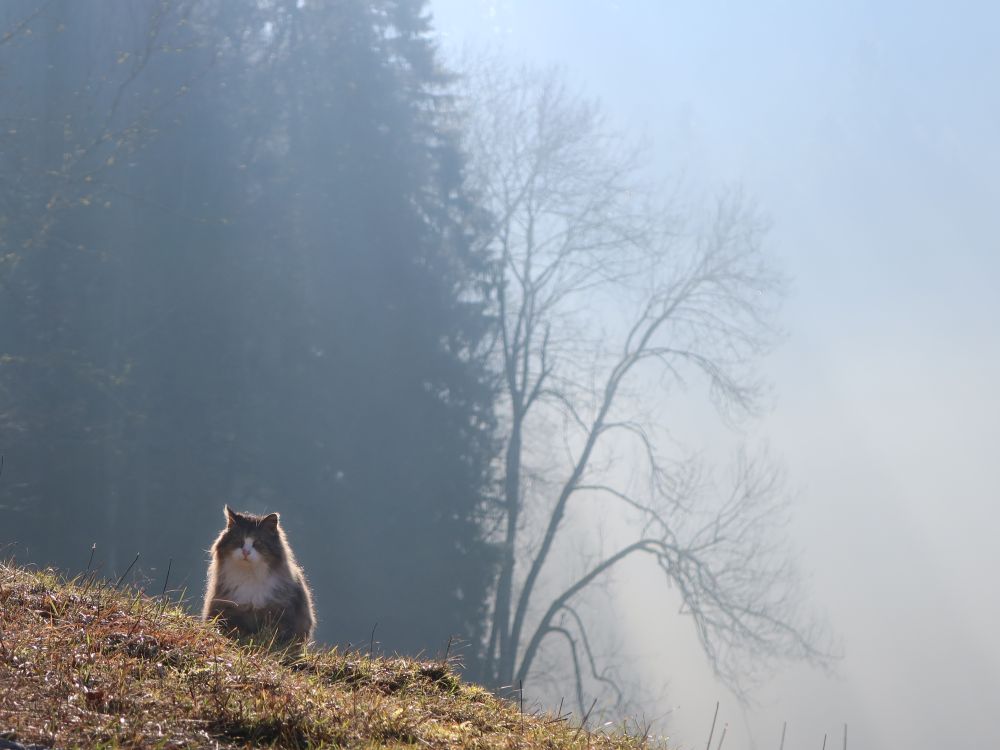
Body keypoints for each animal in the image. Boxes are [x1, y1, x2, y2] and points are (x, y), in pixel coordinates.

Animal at [202, 508, 312, 648]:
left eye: (257, 543)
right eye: (239, 541)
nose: (246, 552)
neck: (249, 575)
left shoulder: (279, 613)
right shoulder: (227, 609)